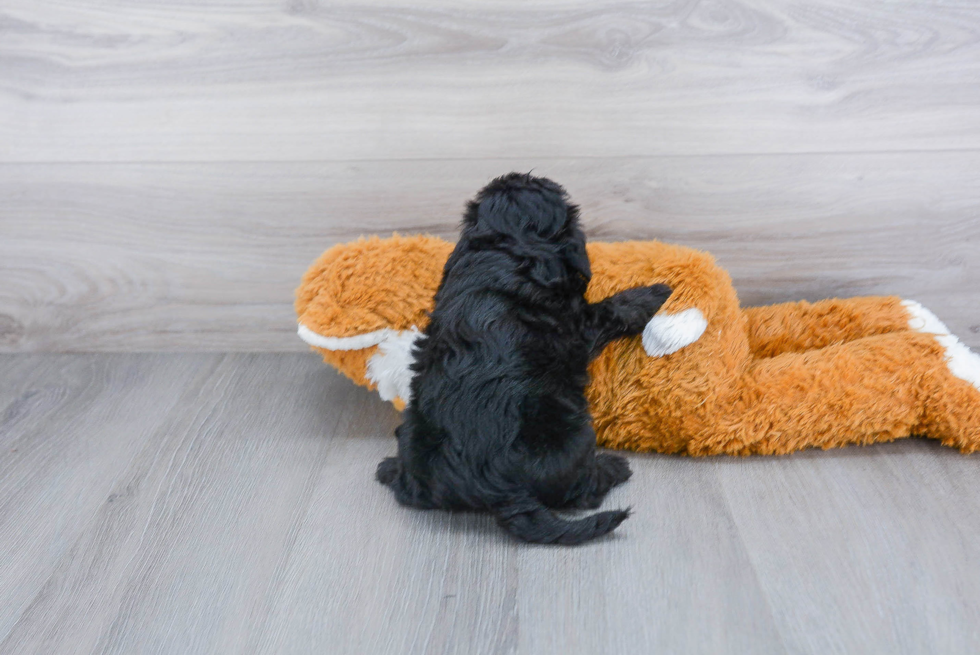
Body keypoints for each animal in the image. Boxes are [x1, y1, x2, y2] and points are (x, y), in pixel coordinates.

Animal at [378, 173, 672, 544]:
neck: (506, 248)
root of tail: (498, 490)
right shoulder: (579, 326)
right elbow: (610, 309)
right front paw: (655, 293)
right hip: (576, 437)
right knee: (582, 491)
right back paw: (614, 467)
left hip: (415, 433)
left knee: (411, 489)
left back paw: (389, 468)